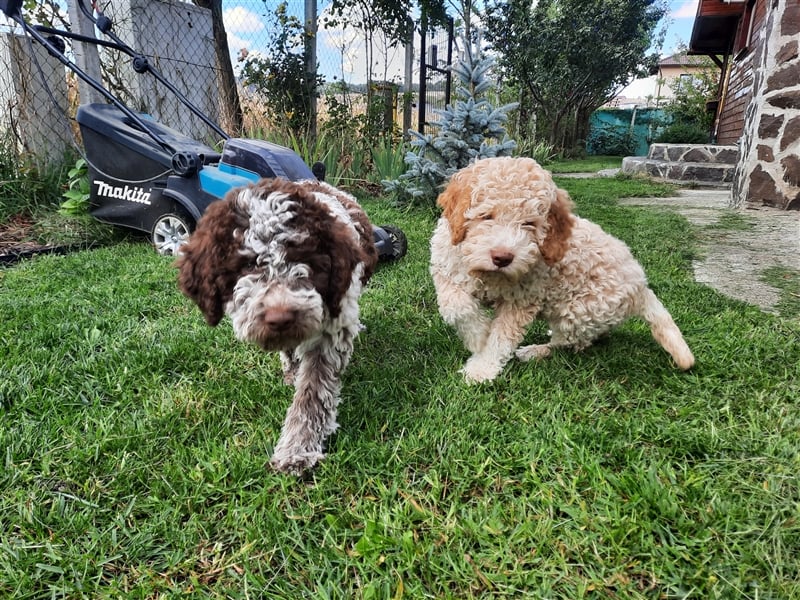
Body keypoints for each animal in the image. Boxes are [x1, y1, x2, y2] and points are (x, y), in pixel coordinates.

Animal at [177, 177, 376, 474]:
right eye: (247, 263)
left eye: (303, 258)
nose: (280, 316)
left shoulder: (331, 326)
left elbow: (313, 392)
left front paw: (297, 448)